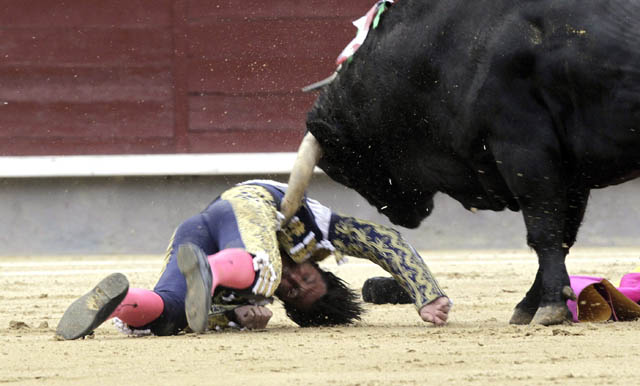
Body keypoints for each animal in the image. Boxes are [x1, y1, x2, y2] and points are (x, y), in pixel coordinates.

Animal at [284, 0, 640, 326]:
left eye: (348, 166)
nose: (396, 215)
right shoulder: (570, 171)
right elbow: (562, 234)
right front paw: (532, 305)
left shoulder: (525, 149)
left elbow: (545, 230)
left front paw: (549, 307)